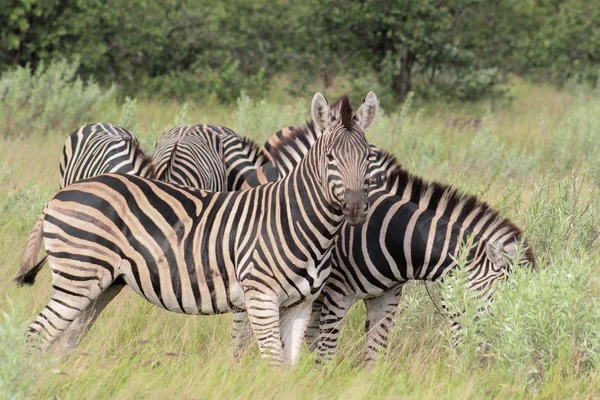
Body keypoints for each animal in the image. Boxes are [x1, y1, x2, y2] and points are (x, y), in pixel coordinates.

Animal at [14, 92, 378, 368]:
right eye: (329, 157)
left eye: (367, 157)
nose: (357, 209)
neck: (295, 219)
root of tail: (58, 196)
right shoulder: (260, 298)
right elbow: (272, 362)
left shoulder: (299, 304)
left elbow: (288, 366)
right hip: (77, 278)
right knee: (36, 335)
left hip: (101, 284)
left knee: (67, 338)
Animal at [234, 113, 536, 368]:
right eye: (491, 304)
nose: (483, 363)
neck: (395, 239)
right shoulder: (336, 295)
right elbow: (326, 352)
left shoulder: (387, 297)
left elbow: (375, 354)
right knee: (244, 329)